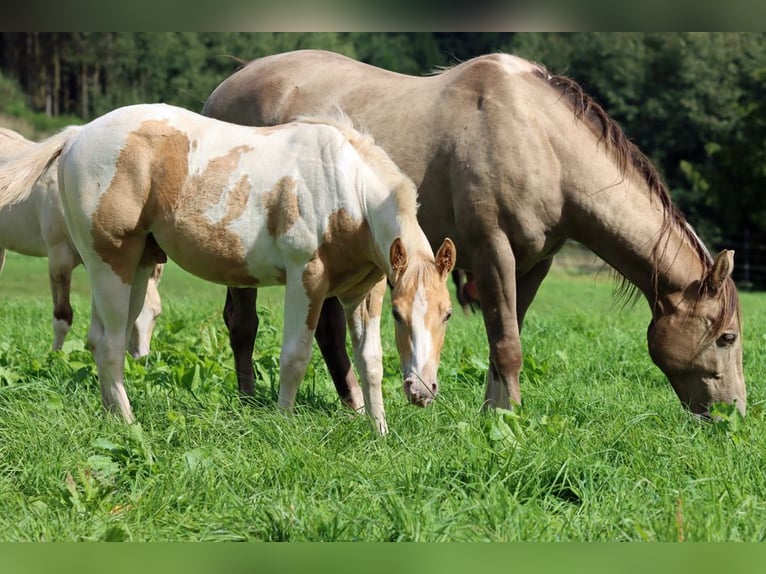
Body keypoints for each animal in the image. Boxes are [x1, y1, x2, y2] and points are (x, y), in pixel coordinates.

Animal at [201, 49, 748, 418]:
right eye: (727, 337)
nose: (735, 414)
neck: (539, 138)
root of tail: (225, 87)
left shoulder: (534, 262)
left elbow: (506, 339)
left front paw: (496, 414)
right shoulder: (490, 251)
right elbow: (506, 343)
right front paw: (511, 419)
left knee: (329, 331)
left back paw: (354, 405)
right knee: (242, 321)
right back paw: (249, 401)